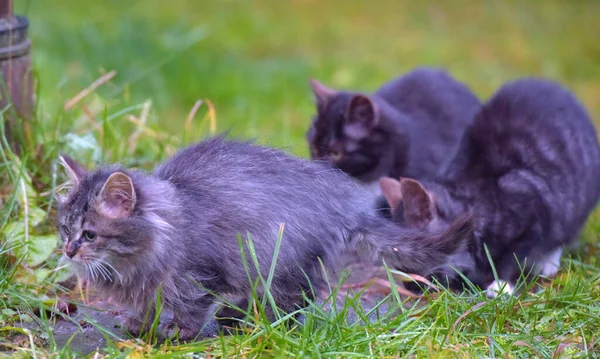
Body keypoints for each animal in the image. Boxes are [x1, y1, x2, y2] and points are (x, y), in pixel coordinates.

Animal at [56, 137, 472, 340]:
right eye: (64, 228)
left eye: (89, 234)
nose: (69, 250)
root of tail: (343, 205)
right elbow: (146, 301)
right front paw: (138, 323)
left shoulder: (198, 272)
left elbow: (191, 303)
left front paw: (179, 330)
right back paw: (235, 316)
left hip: (280, 255)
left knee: (298, 296)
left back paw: (263, 324)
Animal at [380, 79, 600, 298]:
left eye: (413, 259)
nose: (408, 285)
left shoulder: (532, 211)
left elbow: (514, 255)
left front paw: (500, 284)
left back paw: (548, 262)